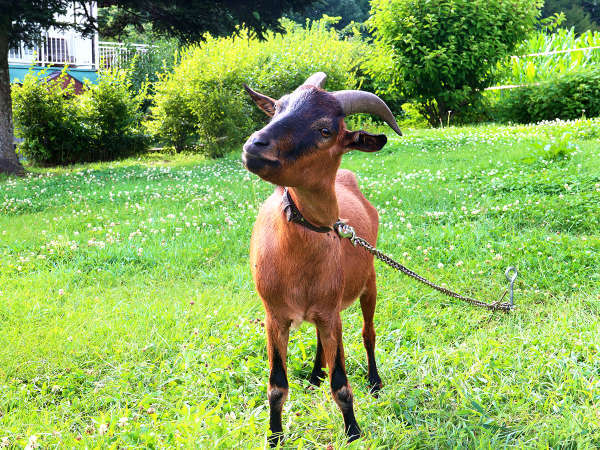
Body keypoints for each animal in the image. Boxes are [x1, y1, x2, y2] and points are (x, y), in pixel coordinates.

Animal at [240, 72, 404, 444]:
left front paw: (353, 432)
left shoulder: (331, 314)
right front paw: (274, 437)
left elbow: (341, 383)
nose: (255, 145)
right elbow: (276, 386)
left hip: (368, 283)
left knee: (368, 333)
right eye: (277, 109)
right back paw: (315, 375)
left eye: (325, 130)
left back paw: (374, 382)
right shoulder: (274, 316)